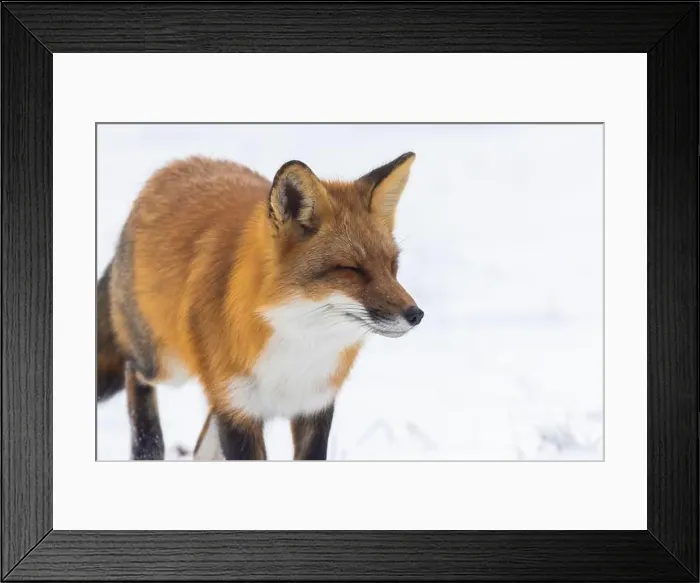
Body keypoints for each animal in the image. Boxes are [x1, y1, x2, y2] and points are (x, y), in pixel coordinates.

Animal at [96, 152, 423, 461]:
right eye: (351, 270)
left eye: (392, 266)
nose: (416, 315)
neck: (297, 345)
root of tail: (173, 166)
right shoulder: (238, 410)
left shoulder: (314, 406)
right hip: (166, 365)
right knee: (134, 372)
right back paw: (148, 447)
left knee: (202, 450)